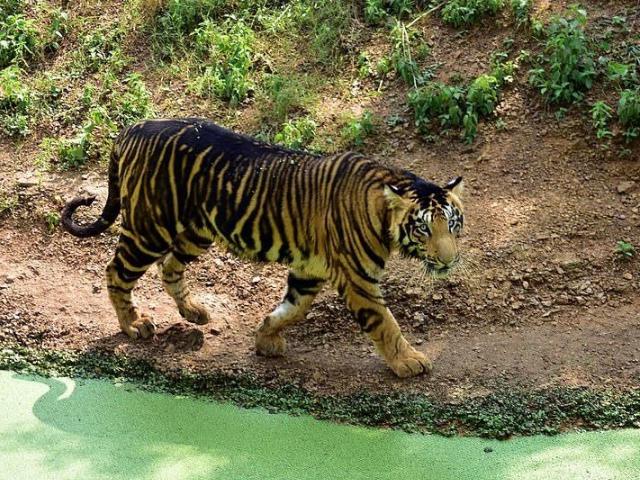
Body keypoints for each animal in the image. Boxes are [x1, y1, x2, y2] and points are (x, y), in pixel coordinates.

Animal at [61, 118, 464, 376]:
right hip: (150, 228)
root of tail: (132, 127)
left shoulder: (308, 270)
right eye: (424, 229)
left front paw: (265, 337)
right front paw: (409, 362)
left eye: (452, 224)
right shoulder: (358, 279)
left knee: (170, 266)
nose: (449, 259)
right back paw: (134, 325)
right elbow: (385, 323)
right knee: (117, 271)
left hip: (196, 231)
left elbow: (293, 308)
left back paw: (195, 312)